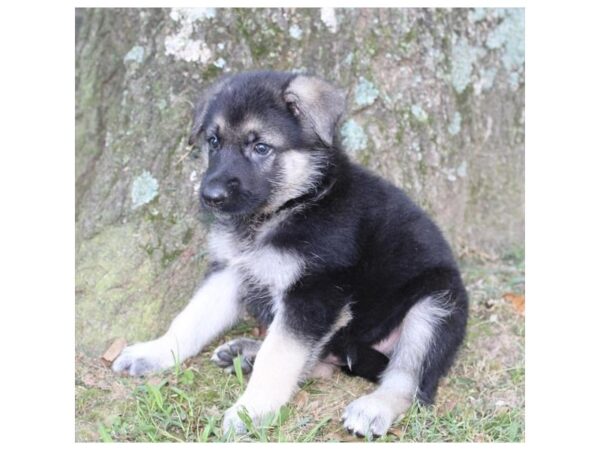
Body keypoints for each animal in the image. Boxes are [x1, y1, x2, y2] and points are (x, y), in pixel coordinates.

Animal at [112, 72, 468, 438]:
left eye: (260, 147)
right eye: (213, 141)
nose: (210, 196)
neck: (289, 206)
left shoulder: (312, 294)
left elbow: (280, 357)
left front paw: (251, 411)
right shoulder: (231, 271)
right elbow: (190, 319)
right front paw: (156, 351)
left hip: (434, 306)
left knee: (407, 380)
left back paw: (373, 407)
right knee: (319, 363)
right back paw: (246, 352)